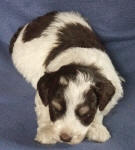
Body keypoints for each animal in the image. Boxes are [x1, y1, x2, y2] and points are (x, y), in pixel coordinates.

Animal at [9, 11, 123, 145]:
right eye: (56, 109)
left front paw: (96, 128)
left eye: (85, 113)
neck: (83, 64)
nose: (65, 138)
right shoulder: (43, 93)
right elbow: (44, 111)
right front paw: (47, 132)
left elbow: (100, 110)